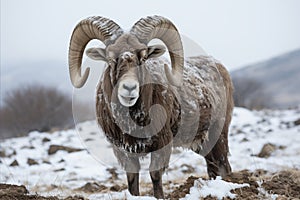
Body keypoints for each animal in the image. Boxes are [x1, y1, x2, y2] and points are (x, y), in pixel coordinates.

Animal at [68, 16, 234, 198]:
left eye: (143, 57)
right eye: (110, 58)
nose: (129, 88)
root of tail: (219, 67)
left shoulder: (161, 144)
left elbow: (155, 175)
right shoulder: (124, 151)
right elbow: (132, 179)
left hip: (218, 133)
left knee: (223, 165)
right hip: (202, 144)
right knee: (212, 167)